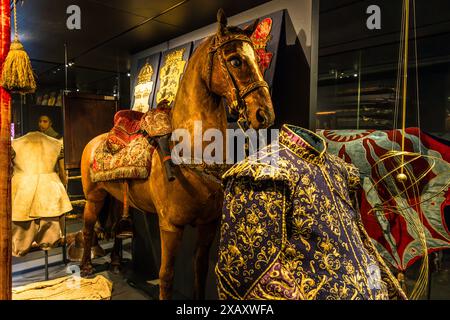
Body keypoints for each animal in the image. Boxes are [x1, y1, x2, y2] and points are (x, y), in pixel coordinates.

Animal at [79, 10, 276, 300]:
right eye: (235, 60)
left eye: (259, 62)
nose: (264, 114)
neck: (192, 151)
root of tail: (94, 141)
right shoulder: (170, 226)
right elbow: (166, 275)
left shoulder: (208, 225)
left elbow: (200, 269)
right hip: (93, 196)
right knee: (88, 227)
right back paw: (85, 268)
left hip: (113, 195)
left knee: (115, 226)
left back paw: (115, 262)